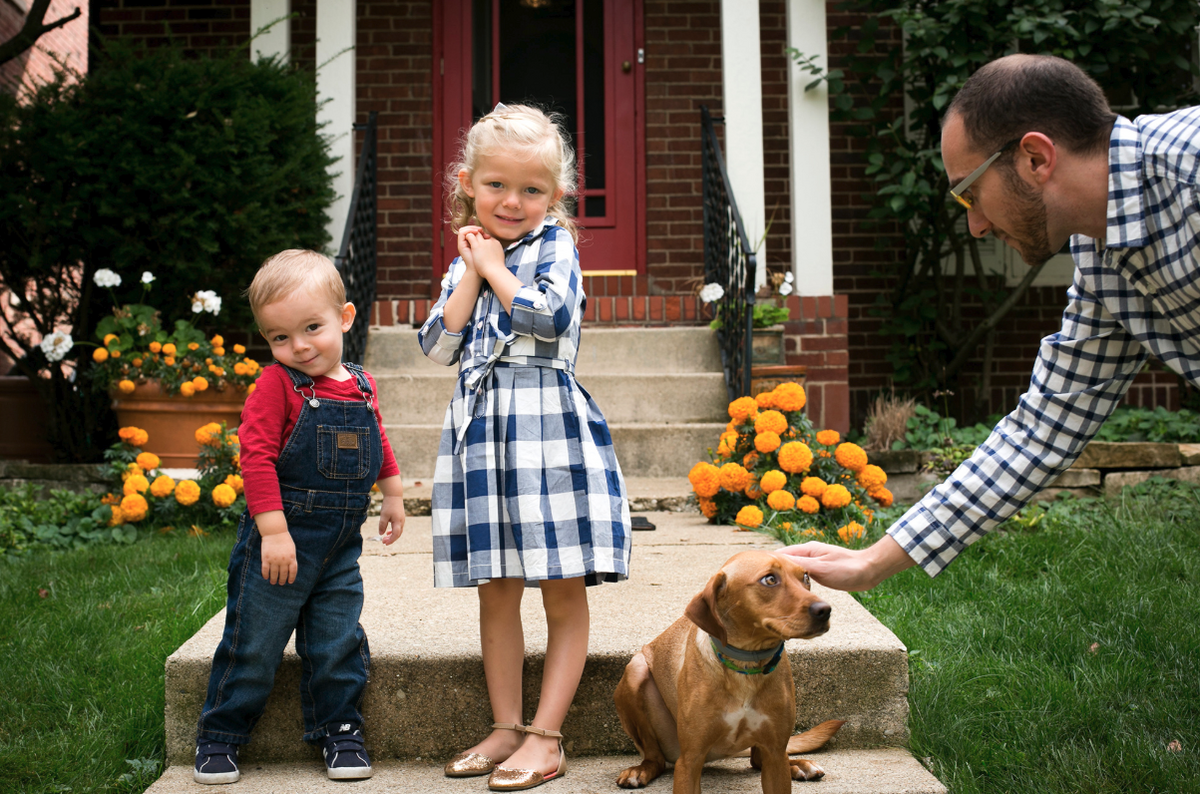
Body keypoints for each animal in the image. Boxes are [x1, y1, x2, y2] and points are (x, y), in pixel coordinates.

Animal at [619, 551, 844, 791]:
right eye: (769, 579)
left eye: (806, 577)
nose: (825, 610)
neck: (746, 668)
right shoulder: (689, 760)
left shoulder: (775, 753)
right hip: (636, 670)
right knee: (656, 758)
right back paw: (641, 770)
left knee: (757, 760)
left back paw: (798, 765)